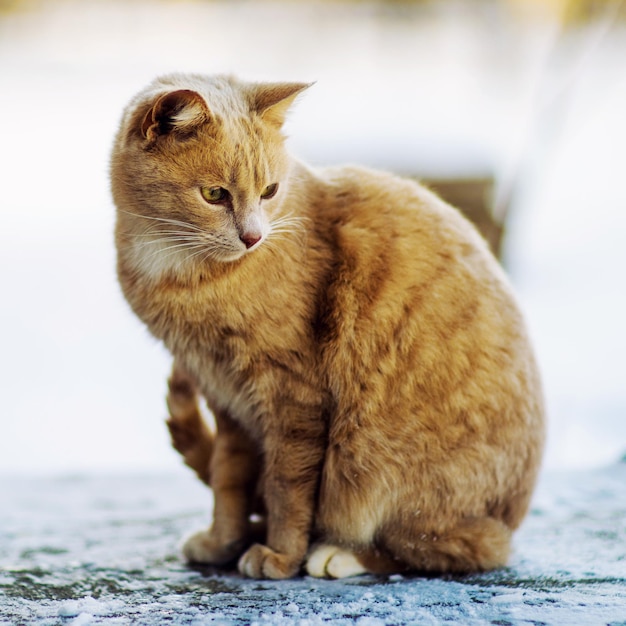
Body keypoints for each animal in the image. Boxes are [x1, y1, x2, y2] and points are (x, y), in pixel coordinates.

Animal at [111, 74, 540, 580]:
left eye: (269, 191)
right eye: (214, 195)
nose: (253, 236)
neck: (176, 268)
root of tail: (513, 514)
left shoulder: (292, 394)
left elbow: (287, 485)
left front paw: (280, 556)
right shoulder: (226, 399)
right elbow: (227, 477)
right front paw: (223, 542)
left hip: (372, 465)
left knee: (460, 547)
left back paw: (337, 554)